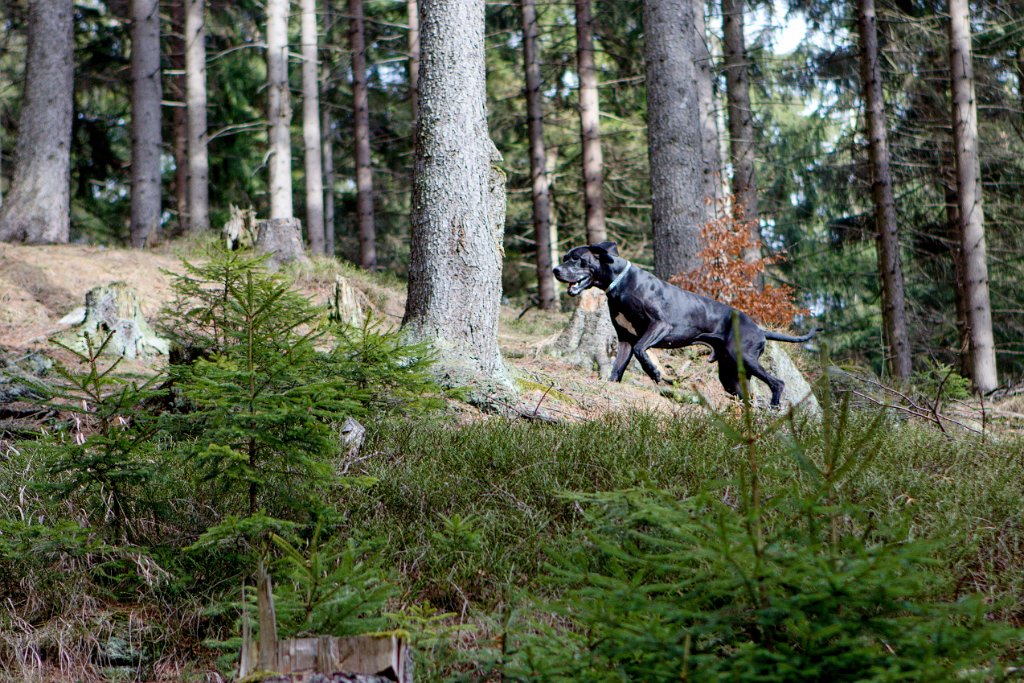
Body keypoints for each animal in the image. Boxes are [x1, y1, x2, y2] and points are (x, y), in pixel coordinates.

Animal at [548, 242, 819, 409]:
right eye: (564, 258)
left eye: (577, 259)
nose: (555, 270)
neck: (619, 283)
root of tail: (760, 329)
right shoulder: (625, 338)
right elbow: (617, 368)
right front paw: (612, 387)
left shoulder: (660, 325)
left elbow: (641, 351)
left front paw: (655, 373)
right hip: (729, 374)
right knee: (748, 396)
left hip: (744, 357)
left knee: (778, 382)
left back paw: (774, 406)